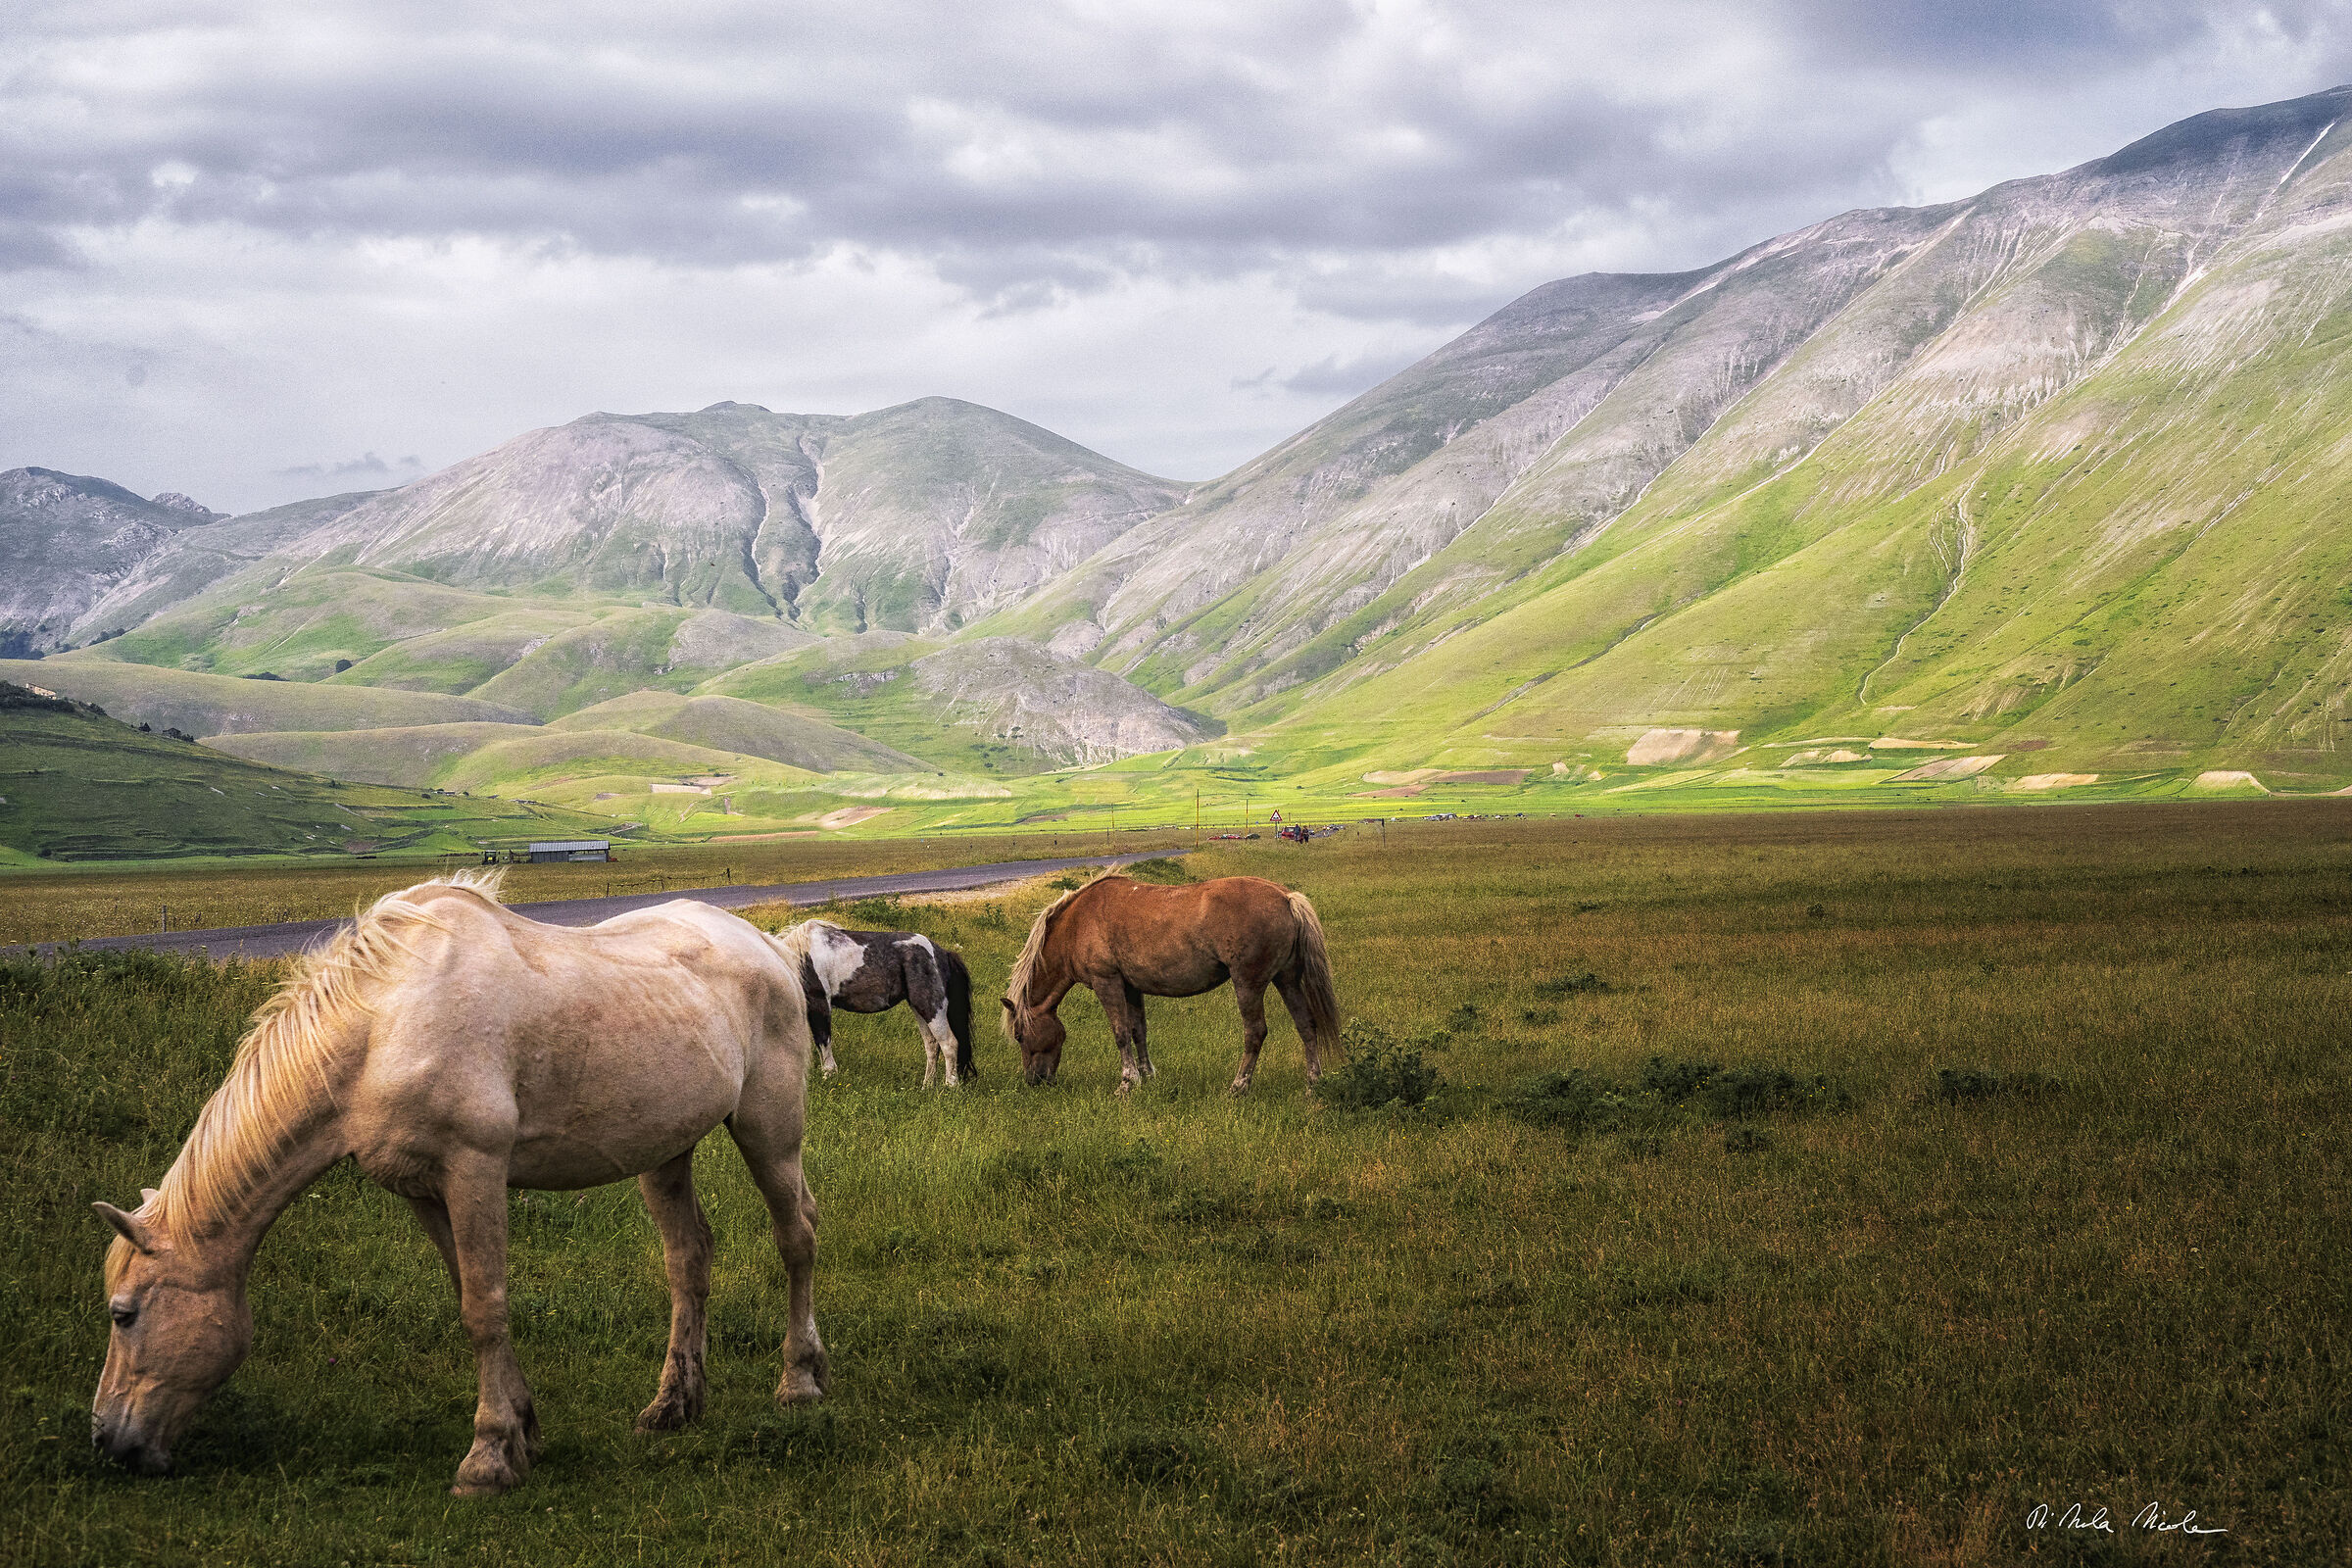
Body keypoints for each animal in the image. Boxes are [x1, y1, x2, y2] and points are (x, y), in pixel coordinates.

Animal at [90, 872, 829, 1497]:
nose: (108, 1442)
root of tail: (768, 944)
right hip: (665, 1149)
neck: (382, 1025)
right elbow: (470, 1298)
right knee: (688, 1258)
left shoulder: (475, 1169)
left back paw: (800, 1380)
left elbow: (485, 1307)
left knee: (796, 1236)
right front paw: (522, 1430)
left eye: (124, 1314)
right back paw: (674, 1404)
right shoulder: (423, 1190)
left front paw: (489, 1456)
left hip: (768, 1128)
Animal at [774, 919, 976, 1087]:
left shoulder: (820, 1004)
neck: (798, 958)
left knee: (949, 1044)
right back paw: (927, 1086)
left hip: (932, 1007)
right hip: (919, 1008)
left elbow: (823, 1041)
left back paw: (950, 1086)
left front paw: (829, 1074)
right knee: (932, 1045)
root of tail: (943, 953)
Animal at [999, 872, 1341, 1094]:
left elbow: (1120, 1033)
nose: (1034, 1081)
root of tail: (1286, 897)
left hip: (1249, 983)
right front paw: (1147, 1075)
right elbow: (1138, 1031)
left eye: (1019, 1035)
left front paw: (1127, 1083)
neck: (1078, 922)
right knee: (1306, 1025)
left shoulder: (1107, 982)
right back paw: (1313, 1083)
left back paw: (1238, 1087)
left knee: (1255, 1032)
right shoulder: (1131, 986)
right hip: (1287, 979)